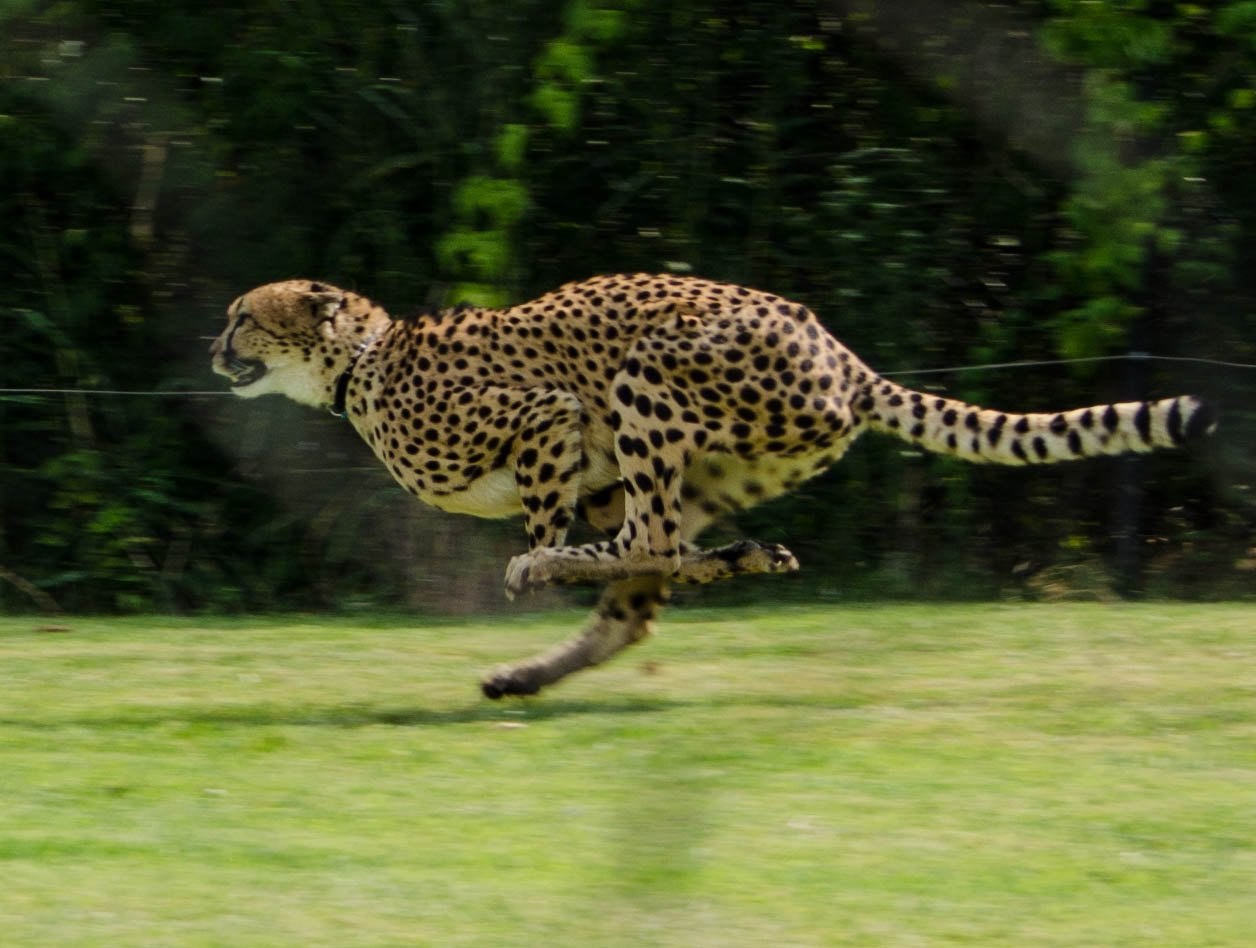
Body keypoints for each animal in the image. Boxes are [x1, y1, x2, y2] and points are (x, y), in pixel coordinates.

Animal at [213, 272, 1215, 698]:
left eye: (243, 320)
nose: (212, 350)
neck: (361, 361)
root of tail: (846, 361)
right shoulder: (594, 465)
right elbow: (626, 556)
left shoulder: (547, 413)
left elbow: (548, 520)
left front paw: (537, 562)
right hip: (711, 455)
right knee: (652, 577)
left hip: (648, 376)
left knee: (650, 544)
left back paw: (565, 583)